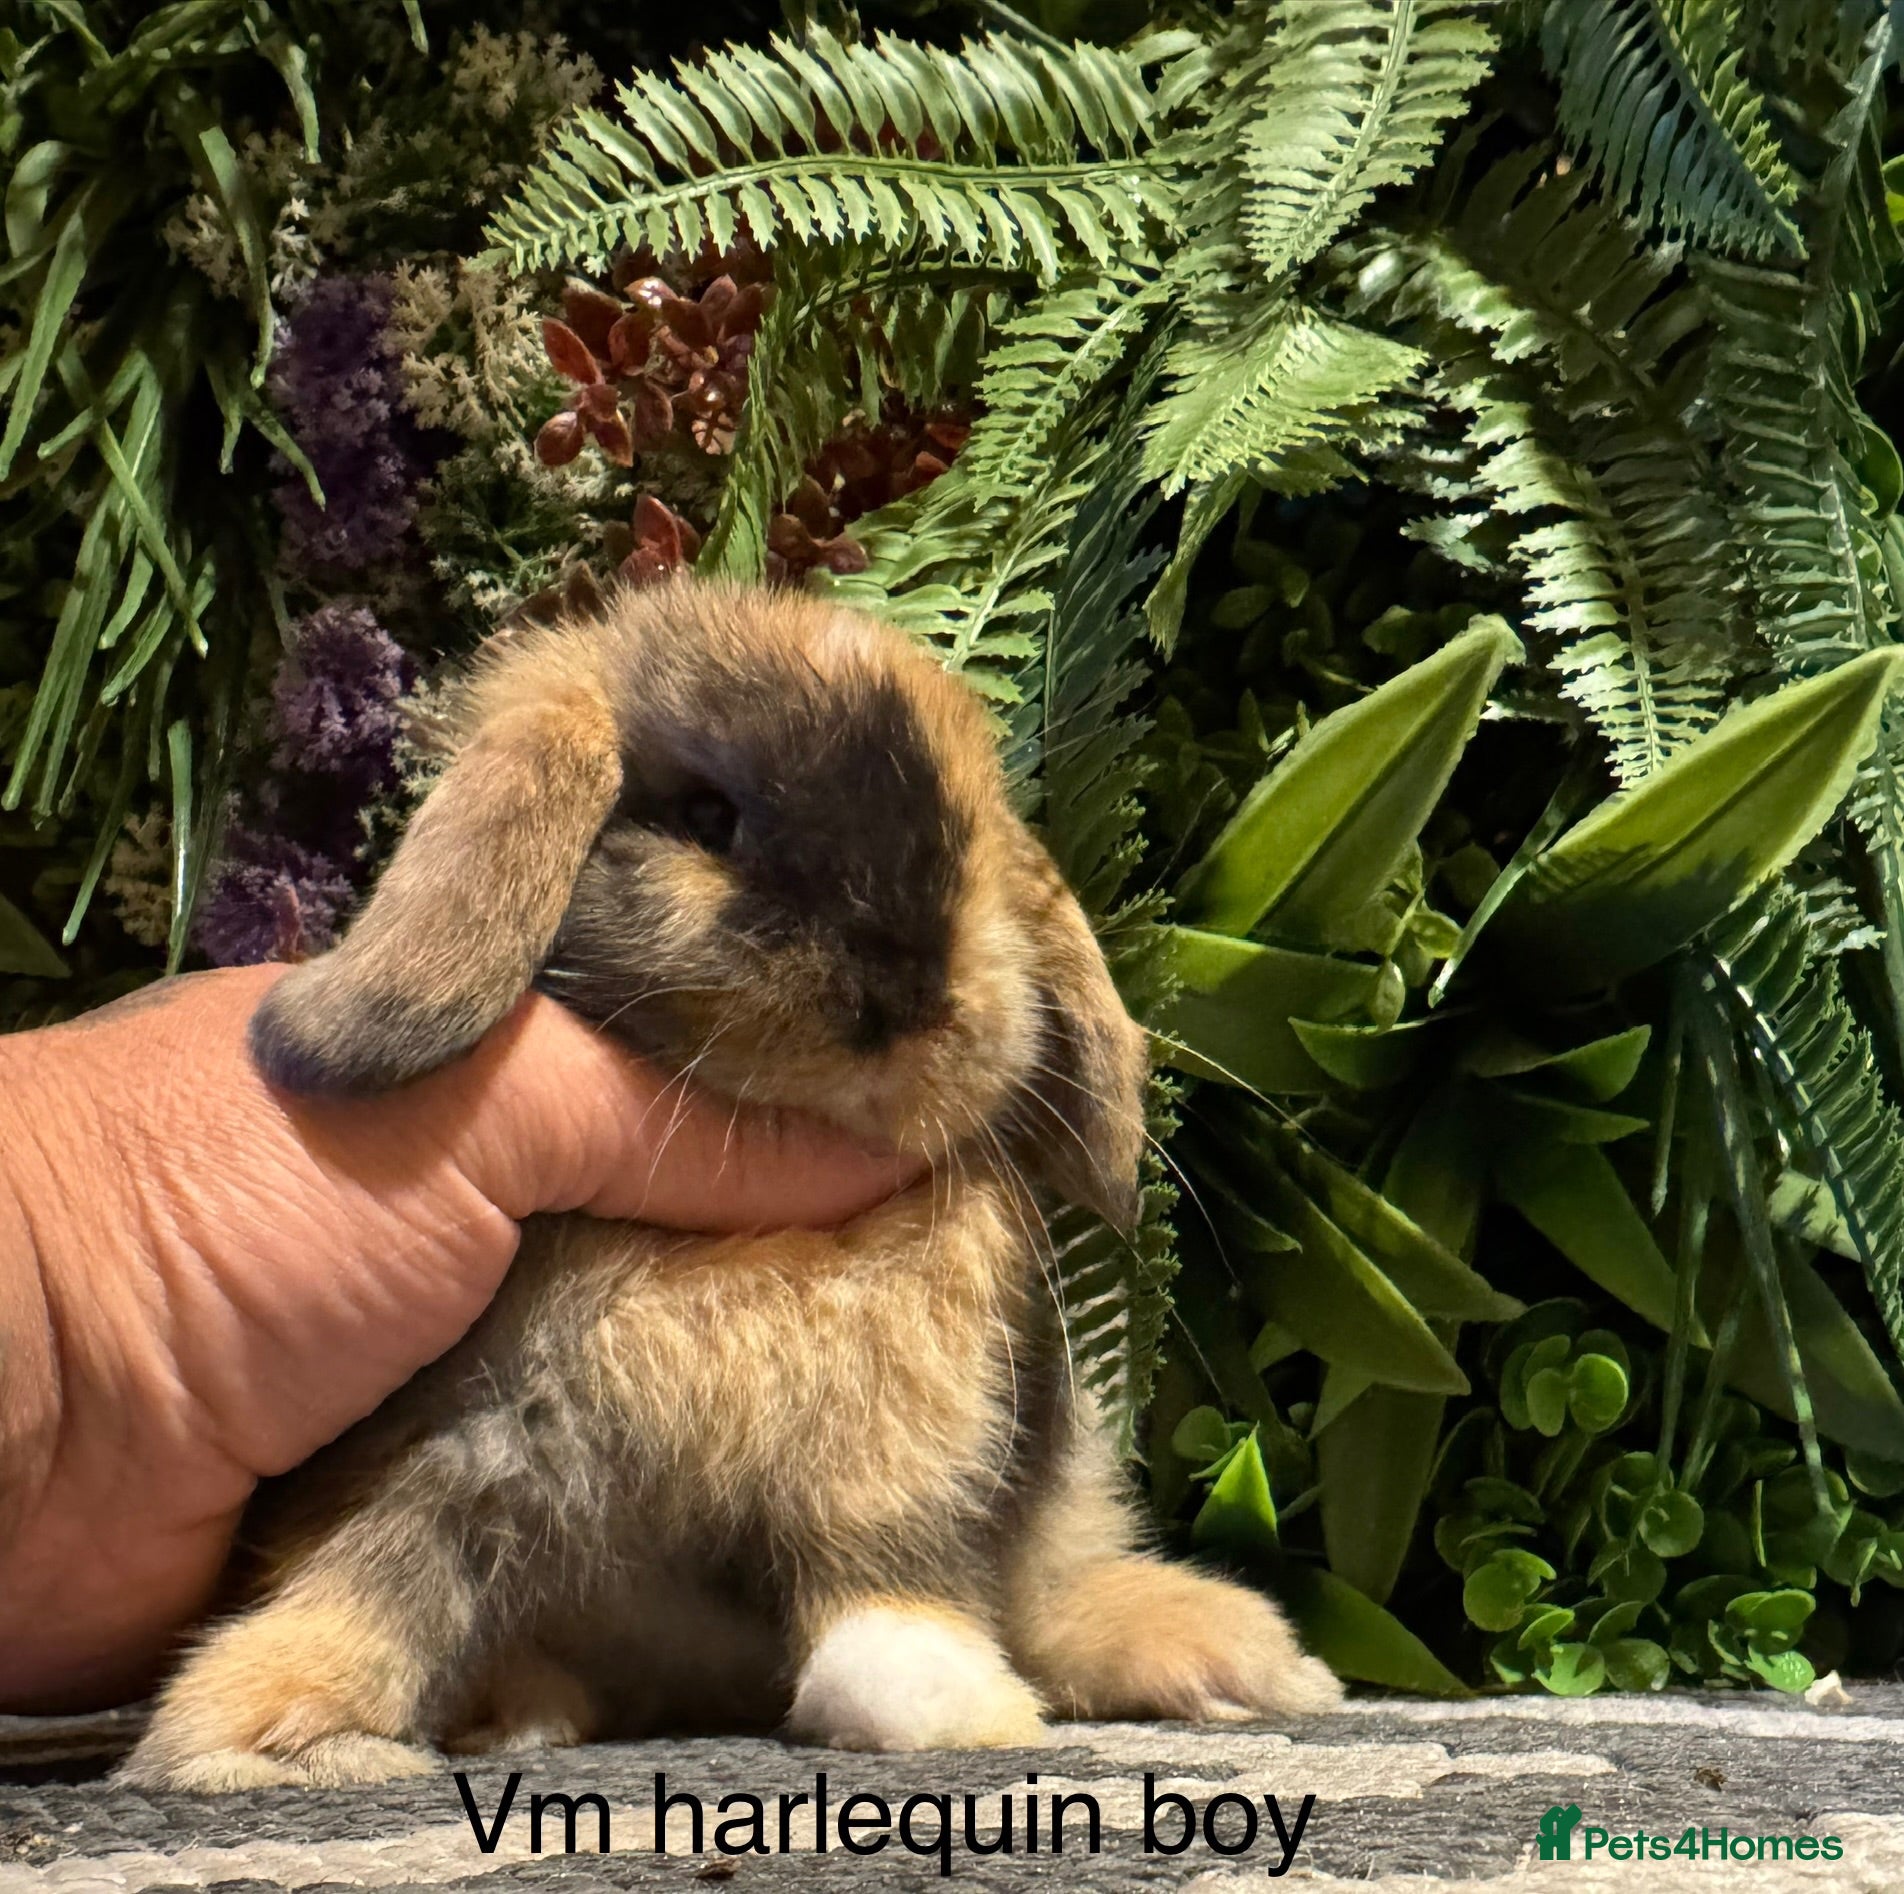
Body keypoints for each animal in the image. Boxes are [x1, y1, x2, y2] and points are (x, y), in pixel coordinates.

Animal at [121, 577, 1340, 1793]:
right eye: (707, 817)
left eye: (978, 836)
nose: (904, 996)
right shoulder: (459, 1445)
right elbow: (380, 1578)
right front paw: (273, 1740)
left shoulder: (904, 1445)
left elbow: (889, 1570)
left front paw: (939, 1703)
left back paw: (1249, 1666)